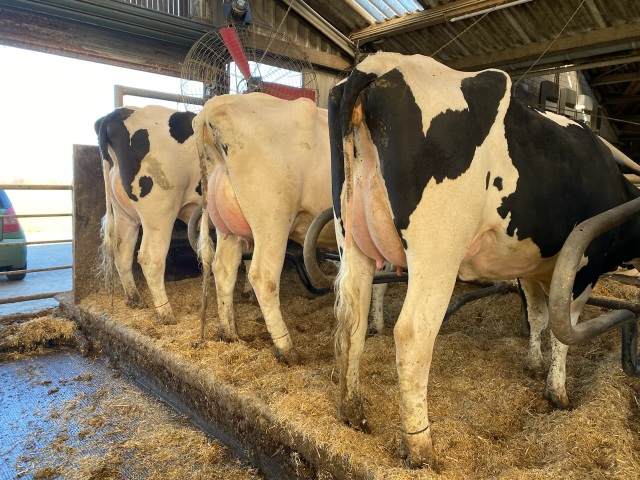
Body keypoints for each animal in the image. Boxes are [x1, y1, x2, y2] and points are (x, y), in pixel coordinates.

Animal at [95, 105, 201, 325]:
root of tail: (122, 112)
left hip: (124, 214)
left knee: (122, 252)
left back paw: (135, 299)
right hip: (160, 211)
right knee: (150, 258)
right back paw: (166, 314)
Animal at [194, 92, 388, 365]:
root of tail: (214, 105)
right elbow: (381, 283)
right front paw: (377, 325)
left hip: (226, 225)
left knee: (224, 268)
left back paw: (230, 332)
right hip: (273, 218)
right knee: (262, 276)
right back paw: (286, 348)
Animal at [328, 52, 640, 469]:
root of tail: (377, 65)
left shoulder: (531, 266)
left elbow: (538, 317)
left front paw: (533, 365)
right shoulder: (582, 269)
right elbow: (563, 330)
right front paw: (557, 393)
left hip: (352, 239)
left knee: (353, 321)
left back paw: (353, 412)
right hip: (437, 253)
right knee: (412, 334)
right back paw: (421, 447)